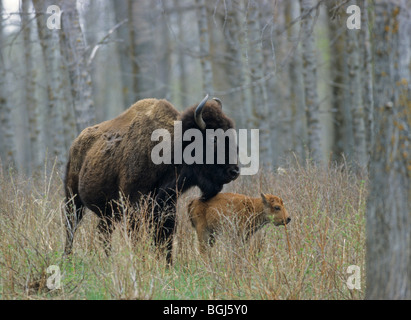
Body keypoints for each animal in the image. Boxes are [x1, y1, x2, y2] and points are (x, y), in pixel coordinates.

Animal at [62, 94, 240, 262]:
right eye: (213, 139)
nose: (234, 171)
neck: (171, 147)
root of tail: (76, 143)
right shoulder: (134, 207)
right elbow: (138, 239)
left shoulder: (167, 207)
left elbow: (165, 240)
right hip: (73, 198)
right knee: (71, 226)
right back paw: (68, 258)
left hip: (107, 213)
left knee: (103, 233)